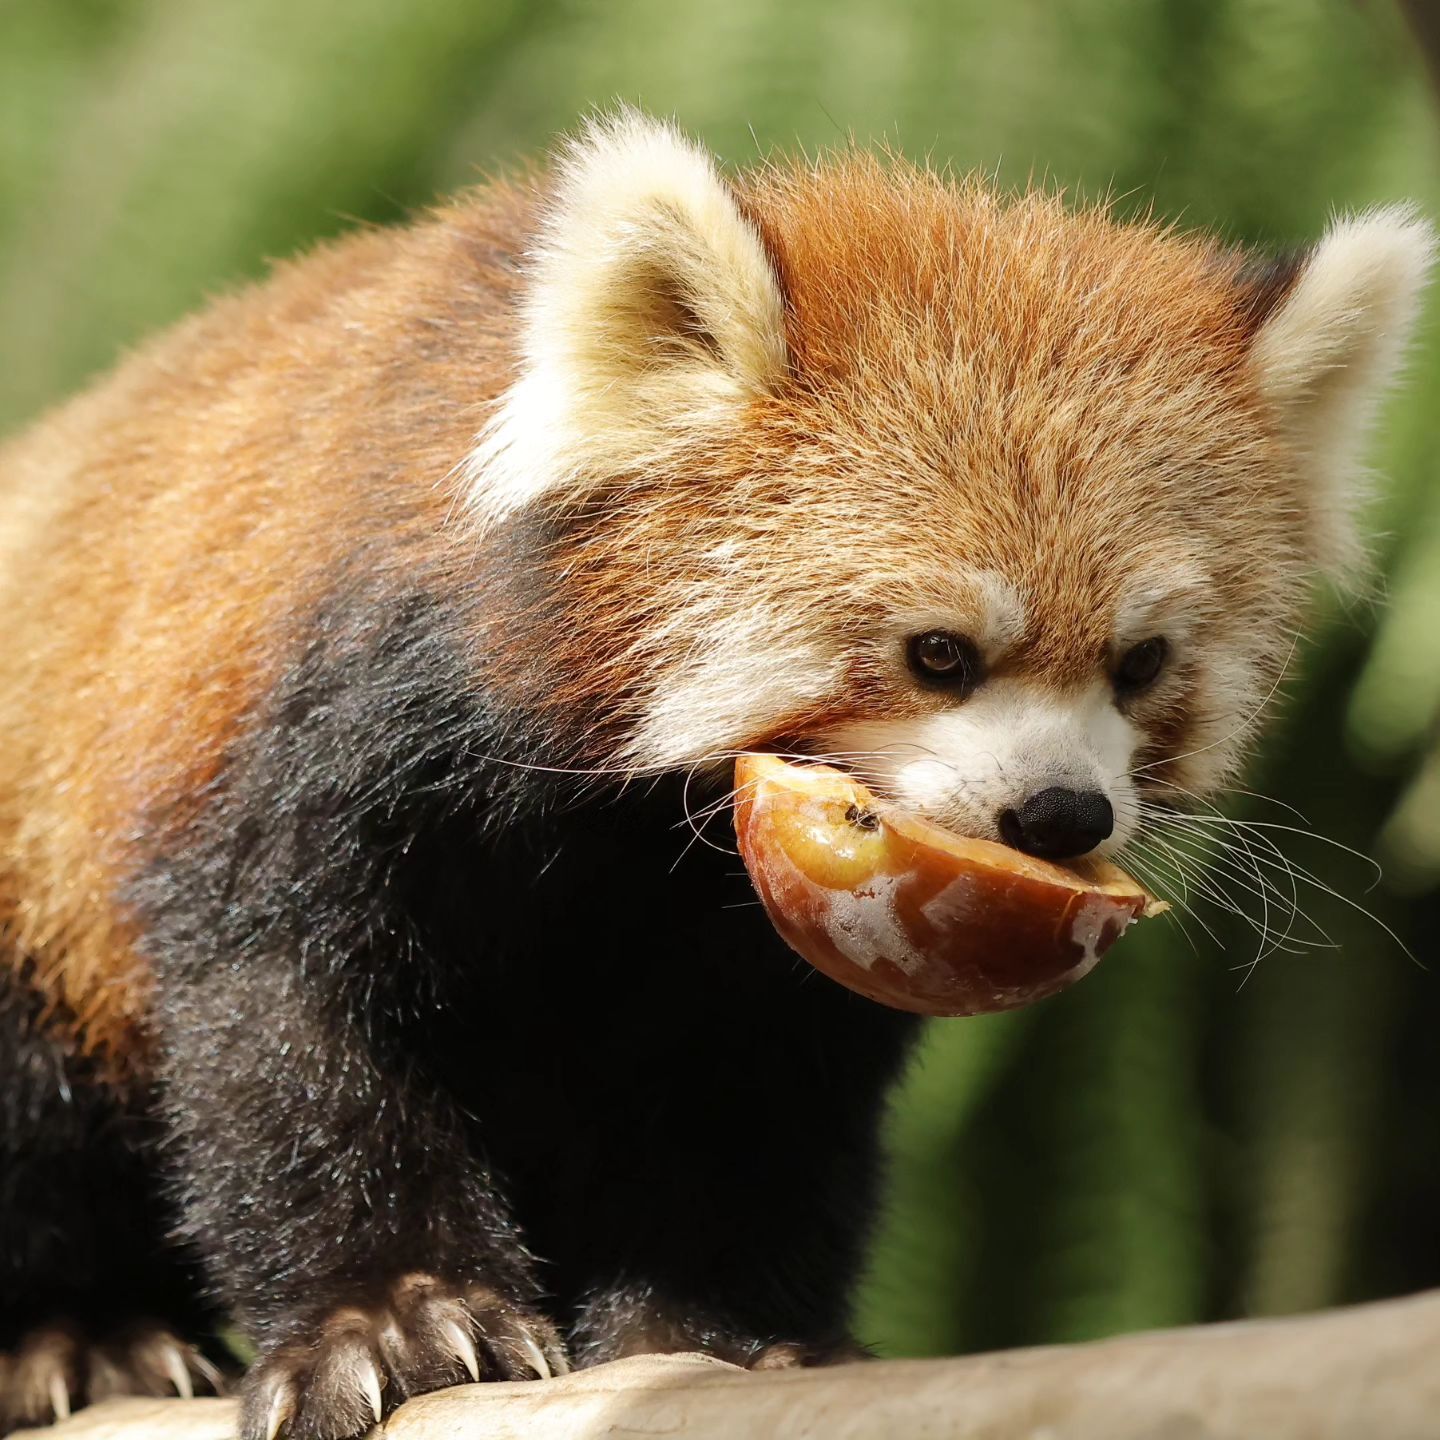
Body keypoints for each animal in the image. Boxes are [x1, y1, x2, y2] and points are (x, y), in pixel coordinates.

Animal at [0, 112, 1422, 1440]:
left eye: (1139, 664)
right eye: (939, 653)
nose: (1061, 812)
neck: (643, 837)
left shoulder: (764, 963)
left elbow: (755, 1108)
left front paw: (722, 1331)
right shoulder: (318, 727)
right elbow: (284, 1021)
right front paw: (394, 1317)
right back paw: (79, 1336)